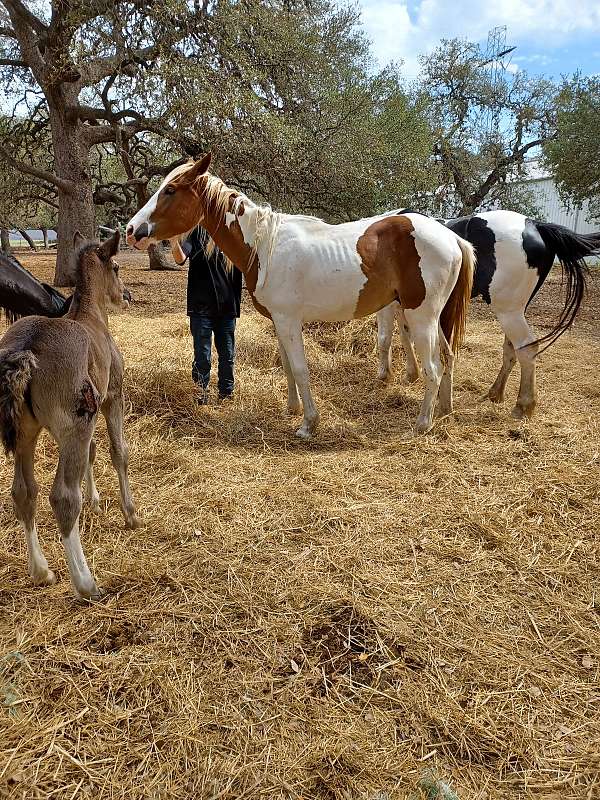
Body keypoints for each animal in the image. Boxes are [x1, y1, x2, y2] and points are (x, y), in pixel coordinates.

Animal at [0, 231, 139, 600]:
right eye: (117, 267)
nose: (126, 296)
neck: (91, 317)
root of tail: (27, 347)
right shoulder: (112, 398)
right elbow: (118, 452)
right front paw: (130, 514)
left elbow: (92, 453)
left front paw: (96, 500)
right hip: (75, 425)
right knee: (62, 497)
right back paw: (86, 583)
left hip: (27, 433)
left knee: (24, 491)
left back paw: (41, 571)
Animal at [129, 153, 476, 440]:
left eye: (171, 190)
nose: (133, 230)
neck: (264, 246)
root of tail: (451, 237)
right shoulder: (279, 322)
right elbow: (286, 367)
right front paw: (292, 409)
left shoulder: (289, 320)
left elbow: (299, 369)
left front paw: (308, 423)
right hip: (435, 320)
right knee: (448, 358)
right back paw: (444, 410)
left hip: (421, 319)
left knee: (432, 368)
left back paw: (422, 424)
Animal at [376, 209, 596, 422]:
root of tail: (534, 225)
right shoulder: (408, 306)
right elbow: (406, 336)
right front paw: (411, 375)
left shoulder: (392, 305)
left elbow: (385, 339)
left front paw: (385, 376)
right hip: (514, 311)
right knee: (512, 349)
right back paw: (495, 393)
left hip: (508, 312)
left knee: (527, 348)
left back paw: (523, 406)